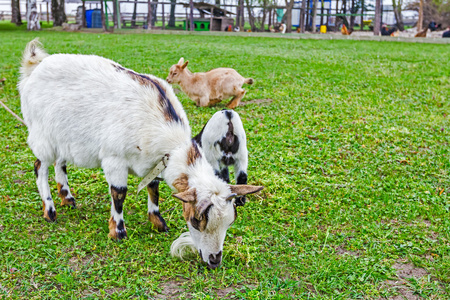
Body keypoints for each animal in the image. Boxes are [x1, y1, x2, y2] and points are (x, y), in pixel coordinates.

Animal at [18, 39, 264, 270]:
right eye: (195, 220)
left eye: (229, 223)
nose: (214, 260)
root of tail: (34, 66)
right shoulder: (114, 159)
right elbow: (119, 194)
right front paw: (118, 232)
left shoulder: (152, 163)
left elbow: (153, 189)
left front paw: (158, 222)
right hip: (42, 135)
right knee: (40, 167)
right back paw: (50, 210)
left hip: (63, 137)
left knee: (60, 163)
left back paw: (67, 198)